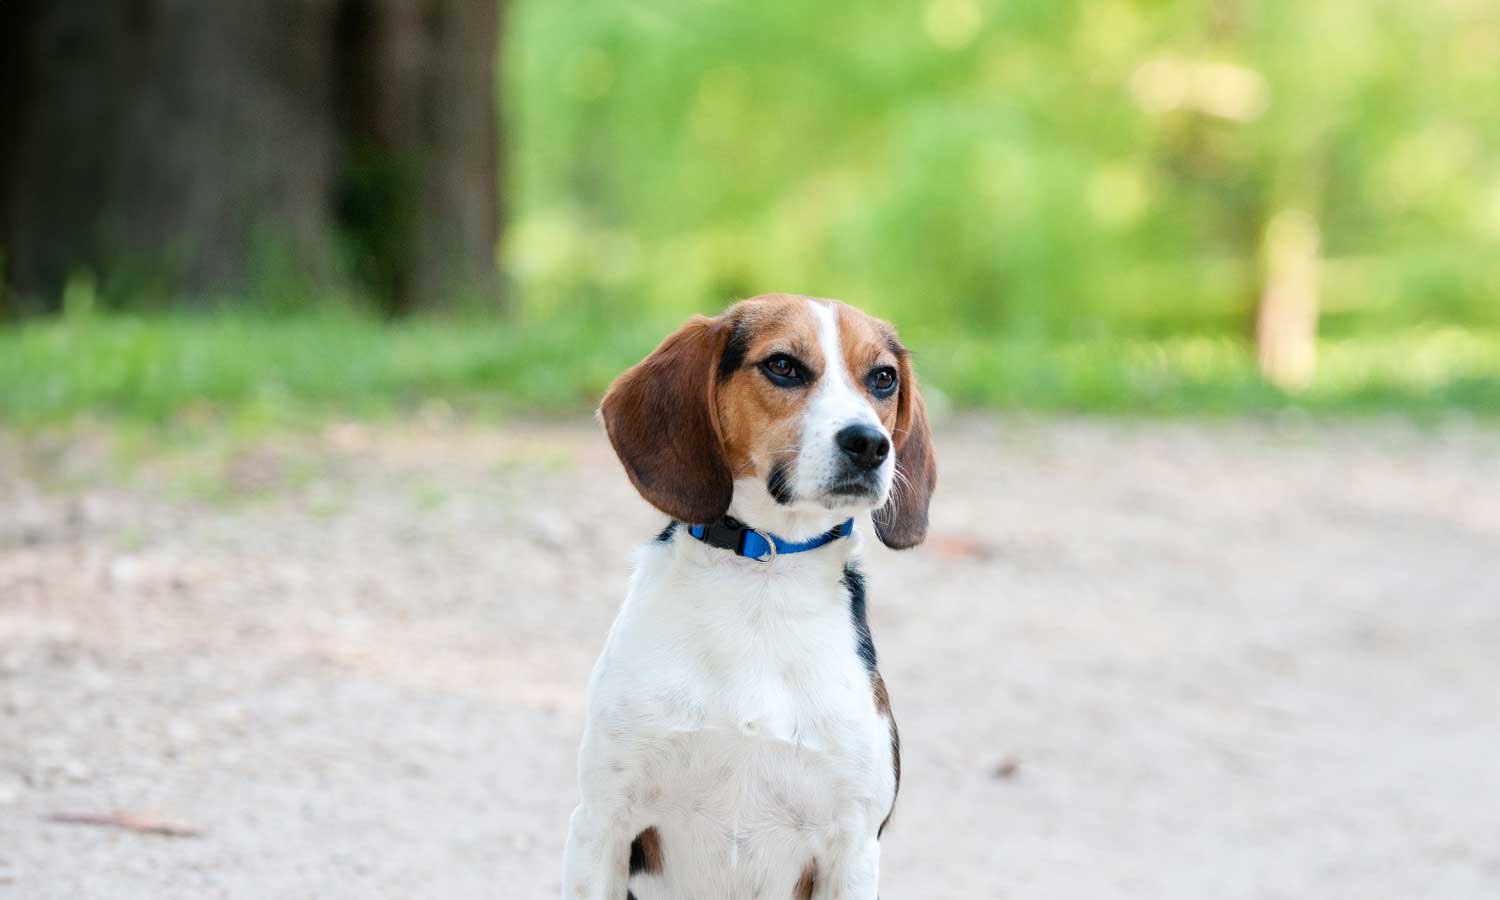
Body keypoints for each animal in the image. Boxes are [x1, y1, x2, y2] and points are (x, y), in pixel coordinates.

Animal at [564, 292, 936, 894]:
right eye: (783, 365)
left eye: (883, 378)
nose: (869, 444)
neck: (764, 580)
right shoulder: (601, 821)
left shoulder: (853, 846)